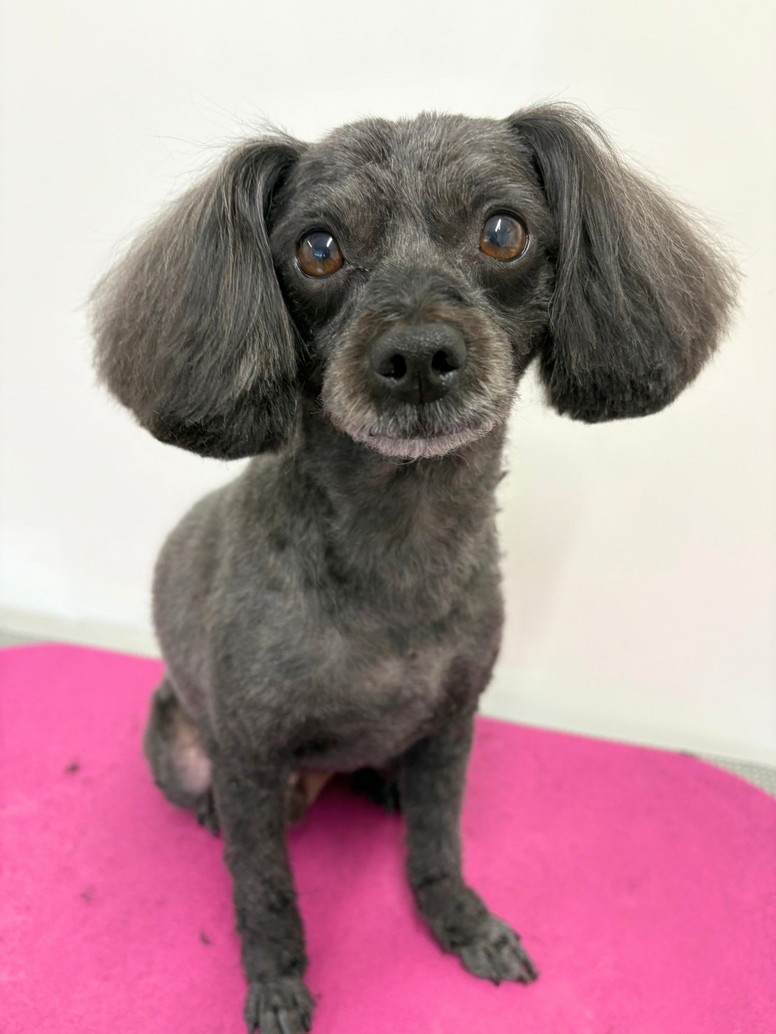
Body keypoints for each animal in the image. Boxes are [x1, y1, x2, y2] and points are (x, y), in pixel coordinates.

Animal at [91, 104, 737, 1034]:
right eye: (317, 248)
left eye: (503, 232)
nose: (420, 355)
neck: (401, 536)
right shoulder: (248, 755)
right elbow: (264, 887)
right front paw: (277, 983)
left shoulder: (455, 722)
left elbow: (438, 841)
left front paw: (460, 923)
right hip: (184, 753)